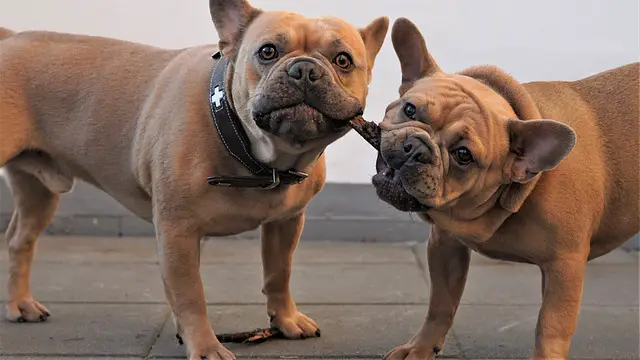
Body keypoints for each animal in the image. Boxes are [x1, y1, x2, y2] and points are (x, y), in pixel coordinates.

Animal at [0, 1, 390, 358]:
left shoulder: (286, 222)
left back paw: (21, 304)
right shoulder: (178, 232)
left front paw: (285, 320)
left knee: (20, 240)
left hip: (39, 192)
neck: (256, 154)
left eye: (343, 60)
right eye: (268, 52)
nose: (304, 69)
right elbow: (190, 294)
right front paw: (205, 346)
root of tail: (10, 38)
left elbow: (278, 273)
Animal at [372, 18, 636, 358]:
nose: (416, 147)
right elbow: (441, 303)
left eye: (463, 155)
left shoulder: (565, 266)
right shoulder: (445, 244)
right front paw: (421, 348)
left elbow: (552, 326)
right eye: (409, 110)